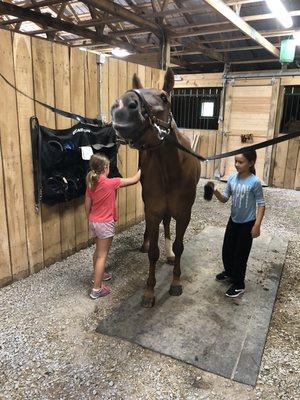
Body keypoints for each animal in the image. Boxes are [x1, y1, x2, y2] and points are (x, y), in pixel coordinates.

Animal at [111, 69, 200, 308]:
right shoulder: (153, 211)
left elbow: (179, 246)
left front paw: (176, 282)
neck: (171, 171)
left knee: (168, 225)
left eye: (164, 97)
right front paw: (149, 292)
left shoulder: (184, 213)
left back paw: (169, 255)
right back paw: (146, 242)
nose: (122, 107)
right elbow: (152, 253)